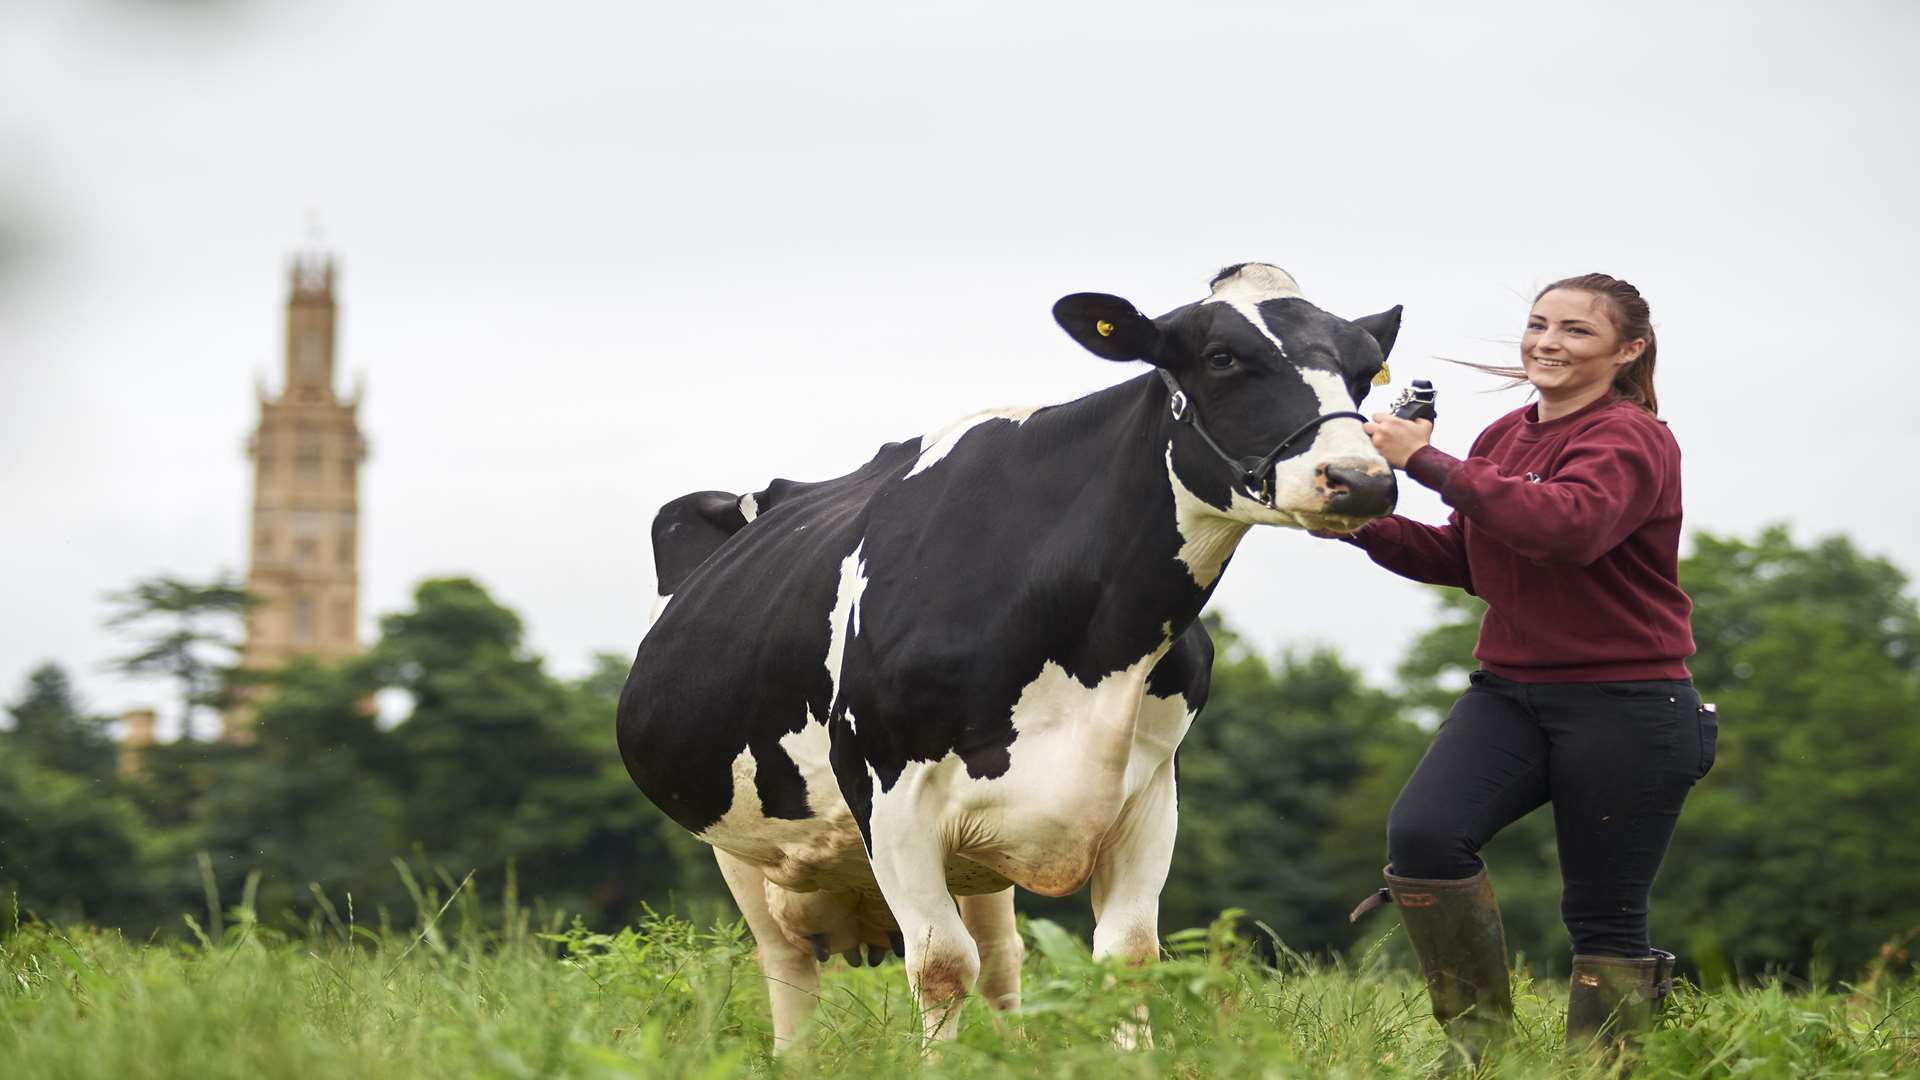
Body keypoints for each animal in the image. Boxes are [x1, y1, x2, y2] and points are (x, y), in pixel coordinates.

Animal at [622, 261, 1405, 1045]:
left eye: (1365, 370)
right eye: (1221, 358)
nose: (1360, 478)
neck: (1093, 658)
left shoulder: (1149, 791)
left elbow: (1127, 955)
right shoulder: (888, 792)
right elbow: (941, 965)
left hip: (971, 867)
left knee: (1001, 957)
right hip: (739, 846)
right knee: (789, 969)